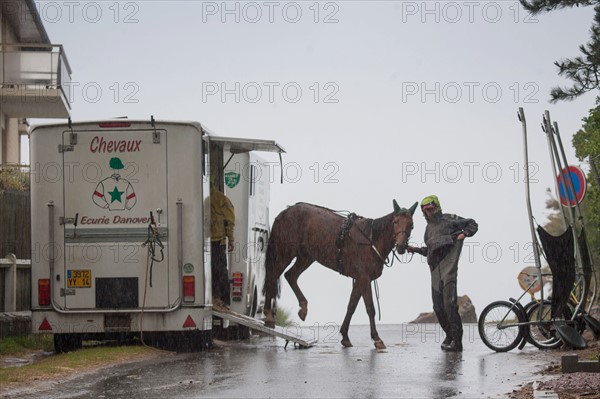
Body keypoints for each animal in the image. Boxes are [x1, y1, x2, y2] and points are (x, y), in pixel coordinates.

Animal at [262, 202, 418, 348]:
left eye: (411, 225)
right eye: (395, 222)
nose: (401, 247)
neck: (371, 239)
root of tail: (286, 212)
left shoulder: (359, 280)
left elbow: (351, 306)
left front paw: (345, 336)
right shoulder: (364, 278)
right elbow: (370, 308)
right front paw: (376, 338)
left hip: (306, 257)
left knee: (290, 276)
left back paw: (303, 308)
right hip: (284, 253)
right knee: (272, 278)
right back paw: (268, 314)